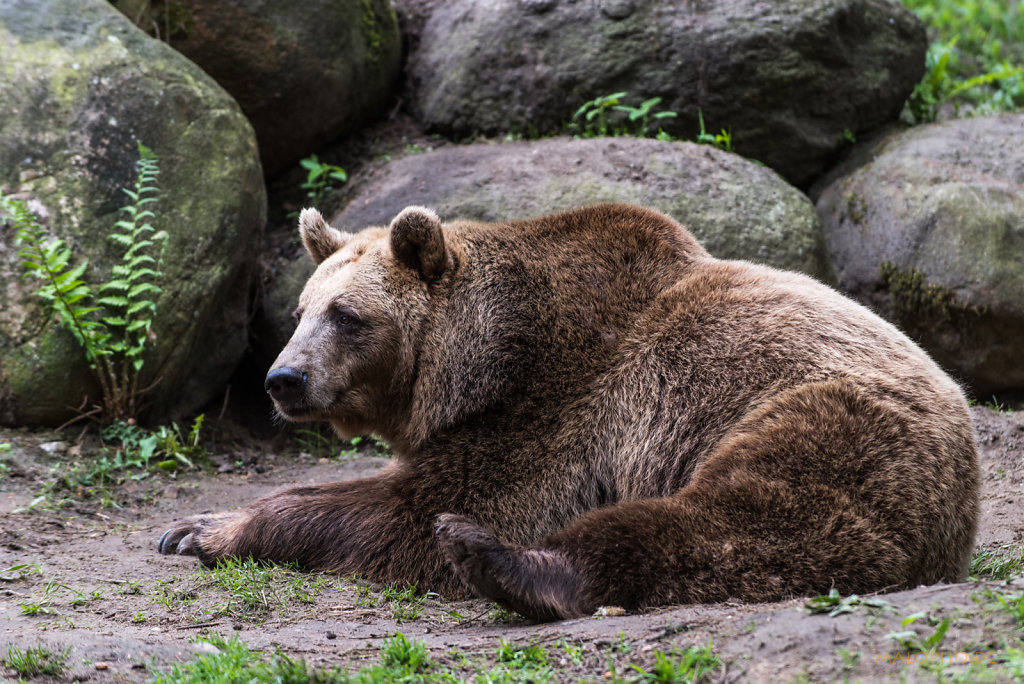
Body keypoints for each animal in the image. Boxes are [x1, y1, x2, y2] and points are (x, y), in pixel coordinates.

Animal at [155, 201, 978, 618]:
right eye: (299, 312)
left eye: (348, 316)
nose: (282, 379)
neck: (477, 361)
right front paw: (188, 523)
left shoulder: (560, 409)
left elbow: (415, 506)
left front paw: (212, 528)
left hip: (828, 415)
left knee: (749, 516)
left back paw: (503, 560)